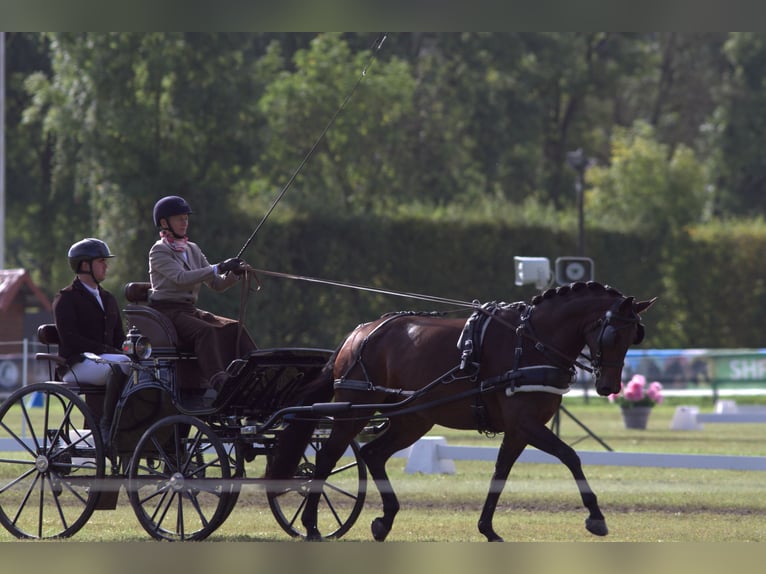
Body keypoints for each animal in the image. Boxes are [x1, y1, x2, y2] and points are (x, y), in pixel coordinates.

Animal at [268, 284, 656, 544]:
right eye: (612, 335)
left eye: (634, 336)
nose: (608, 386)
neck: (531, 342)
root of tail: (358, 333)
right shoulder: (526, 424)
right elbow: (571, 456)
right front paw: (596, 517)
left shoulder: (519, 429)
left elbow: (501, 472)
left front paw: (487, 528)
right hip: (354, 410)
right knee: (327, 459)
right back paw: (312, 524)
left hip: (413, 418)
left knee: (373, 454)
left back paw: (385, 520)